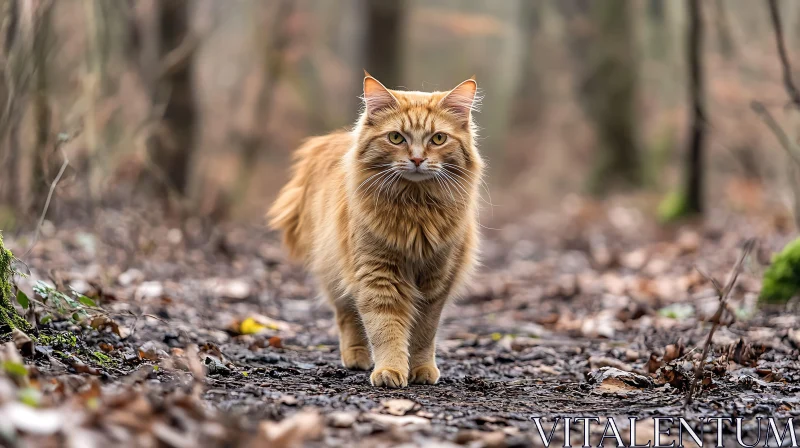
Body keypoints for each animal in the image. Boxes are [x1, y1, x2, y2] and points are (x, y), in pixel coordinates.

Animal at [268, 74, 482, 388]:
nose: (417, 159)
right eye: (396, 138)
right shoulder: (377, 274)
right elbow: (386, 328)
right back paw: (357, 357)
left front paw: (420, 369)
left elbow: (424, 333)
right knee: (347, 315)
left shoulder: (436, 280)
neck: (415, 208)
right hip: (336, 269)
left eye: (438, 139)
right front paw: (390, 370)